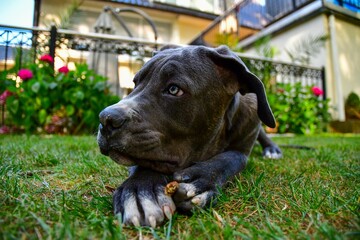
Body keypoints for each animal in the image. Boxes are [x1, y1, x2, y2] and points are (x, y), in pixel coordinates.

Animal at [97, 45, 282, 227]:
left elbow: (231, 158)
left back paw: (272, 149)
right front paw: (139, 191)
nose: (106, 118)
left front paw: (201, 182)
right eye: (135, 83)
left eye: (174, 89)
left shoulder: (242, 147)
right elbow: (146, 163)